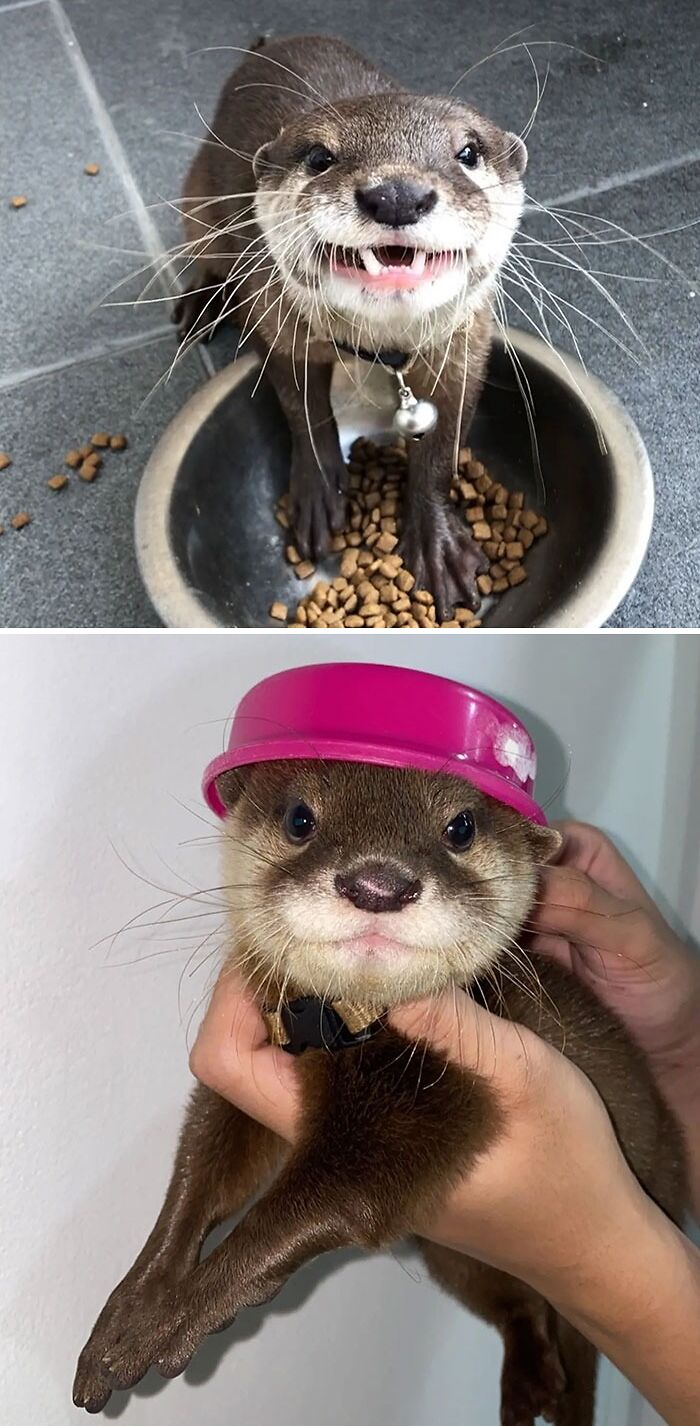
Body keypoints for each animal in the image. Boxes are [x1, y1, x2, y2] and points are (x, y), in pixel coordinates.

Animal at [173, 35, 529, 619]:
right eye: (320, 157)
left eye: (468, 153)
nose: (398, 194)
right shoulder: (274, 321)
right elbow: (304, 412)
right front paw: (319, 494)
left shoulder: (465, 345)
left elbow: (440, 450)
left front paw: (438, 547)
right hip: (197, 195)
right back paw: (201, 302)